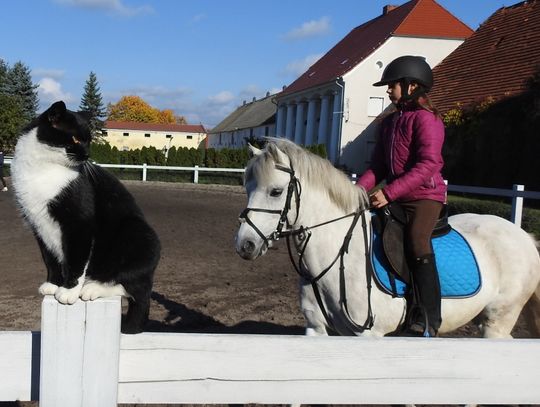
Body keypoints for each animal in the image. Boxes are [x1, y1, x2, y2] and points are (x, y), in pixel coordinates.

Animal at [11, 100, 160, 334]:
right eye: (75, 139)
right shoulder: (37, 224)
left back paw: (92, 288)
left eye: (89, 140)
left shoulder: (79, 224)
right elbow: (49, 259)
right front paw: (53, 284)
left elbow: (76, 258)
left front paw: (68, 291)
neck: (43, 167)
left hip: (138, 234)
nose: (87, 155)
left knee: (135, 289)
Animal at [235, 139, 540, 340]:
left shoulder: (369, 335)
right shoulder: (316, 330)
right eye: (247, 187)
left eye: (275, 191)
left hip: (498, 320)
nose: (245, 245)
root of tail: (524, 236)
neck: (339, 254)